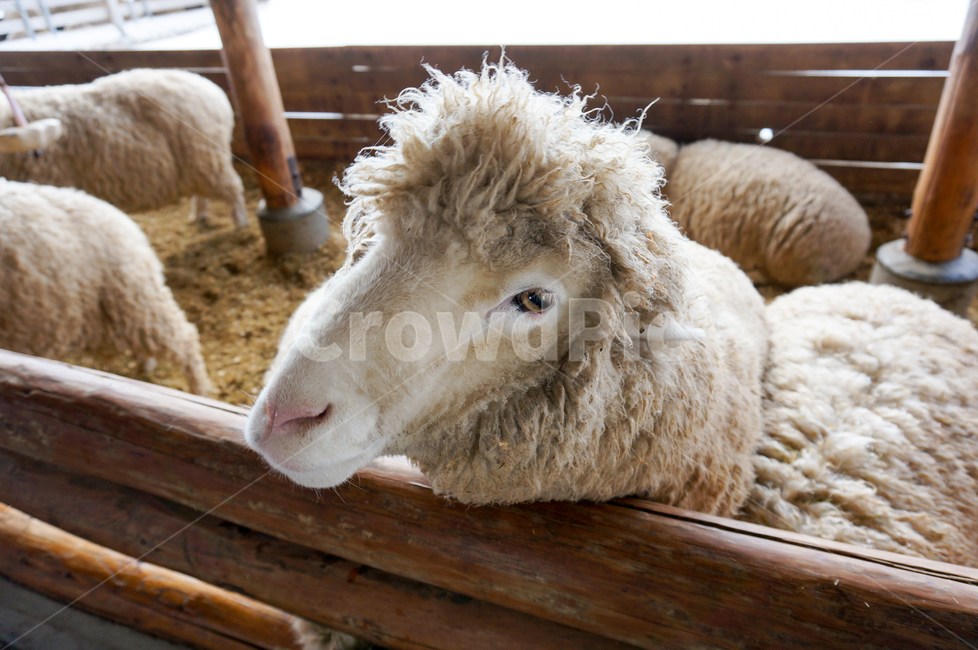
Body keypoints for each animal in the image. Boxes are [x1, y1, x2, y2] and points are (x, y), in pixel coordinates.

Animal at [0, 69, 247, 227]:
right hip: (195, 163)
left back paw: (240, 224)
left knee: (233, 189)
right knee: (202, 192)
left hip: (206, 158)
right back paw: (199, 216)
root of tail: (210, 87)